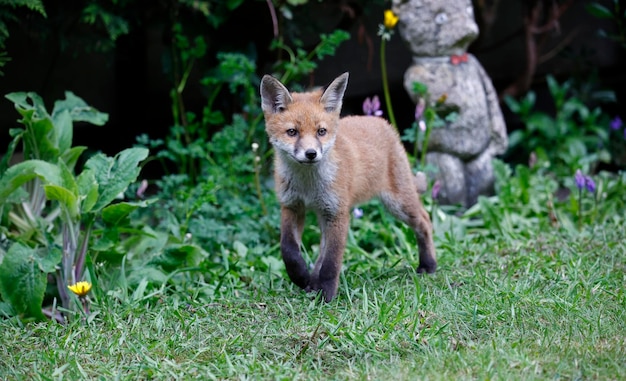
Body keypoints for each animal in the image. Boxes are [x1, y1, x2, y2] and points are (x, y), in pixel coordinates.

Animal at [258, 72, 434, 302]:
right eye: (292, 132)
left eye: (321, 131)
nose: (311, 154)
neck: (308, 186)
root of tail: (380, 121)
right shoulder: (291, 206)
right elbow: (289, 250)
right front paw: (301, 278)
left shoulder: (338, 213)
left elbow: (331, 262)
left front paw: (326, 295)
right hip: (326, 214)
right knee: (321, 247)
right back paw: (312, 281)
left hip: (398, 204)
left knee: (425, 220)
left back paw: (429, 265)